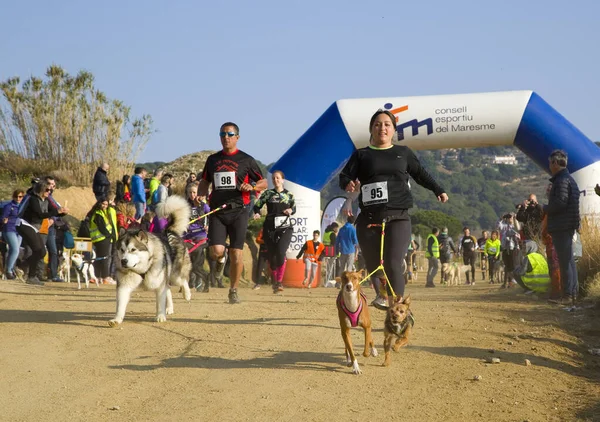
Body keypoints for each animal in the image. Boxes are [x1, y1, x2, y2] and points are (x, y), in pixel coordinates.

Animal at [108, 196, 191, 328]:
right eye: (122, 250)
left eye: (133, 250)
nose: (123, 261)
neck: (142, 269)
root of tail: (168, 232)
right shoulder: (124, 286)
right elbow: (120, 305)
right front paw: (116, 319)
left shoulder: (159, 284)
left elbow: (160, 302)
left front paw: (160, 316)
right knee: (168, 289)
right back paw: (170, 308)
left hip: (174, 276)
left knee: (183, 281)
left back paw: (186, 294)